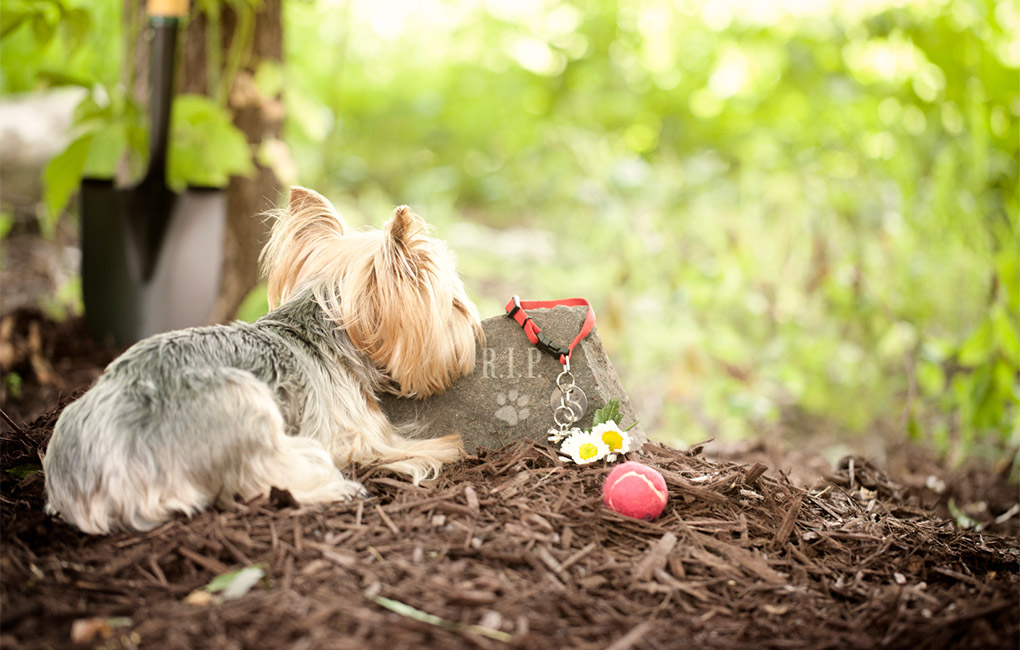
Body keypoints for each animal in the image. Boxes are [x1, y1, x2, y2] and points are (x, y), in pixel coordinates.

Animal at [43, 186, 481, 530]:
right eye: (456, 305)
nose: (473, 330)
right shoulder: (356, 434)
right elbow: (402, 447)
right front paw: (443, 449)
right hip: (243, 403)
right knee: (267, 478)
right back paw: (338, 488)